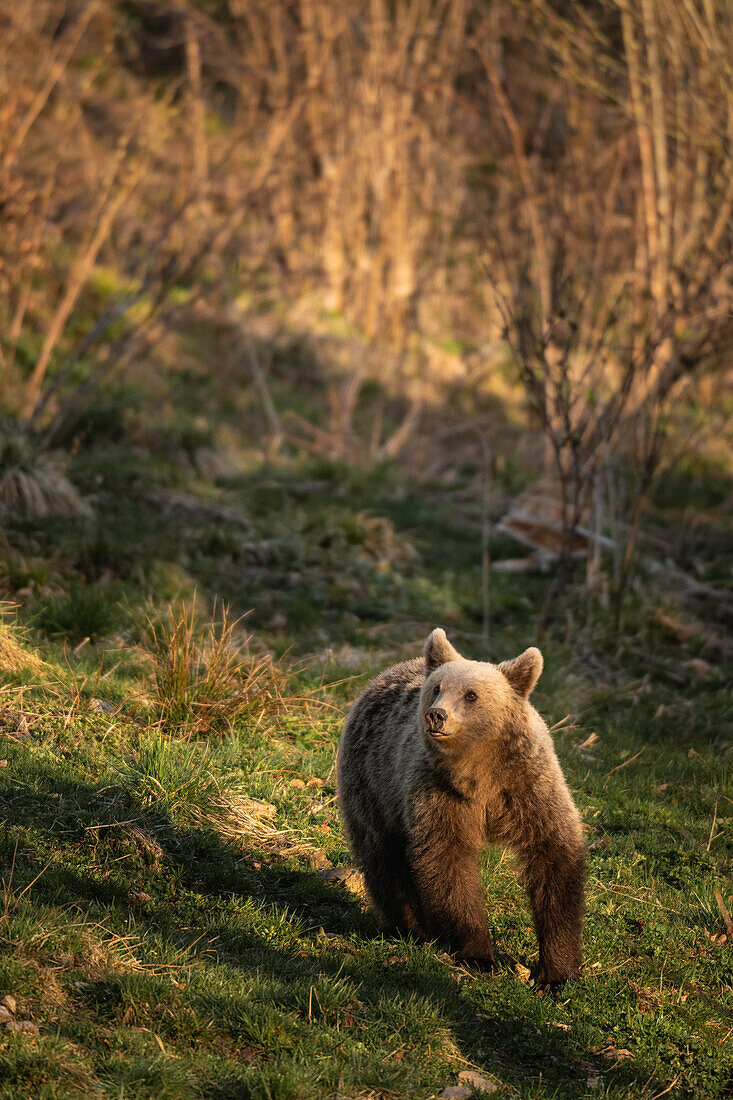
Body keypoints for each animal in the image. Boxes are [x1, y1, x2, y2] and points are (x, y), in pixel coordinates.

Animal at [334, 629, 581, 990]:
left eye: (471, 695)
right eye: (437, 688)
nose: (436, 714)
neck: (478, 770)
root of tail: (383, 673)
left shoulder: (527, 787)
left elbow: (554, 860)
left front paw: (555, 972)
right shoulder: (439, 794)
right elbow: (448, 862)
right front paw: (479, 956)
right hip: (373, 784)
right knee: (383, 856)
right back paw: (412, 928)